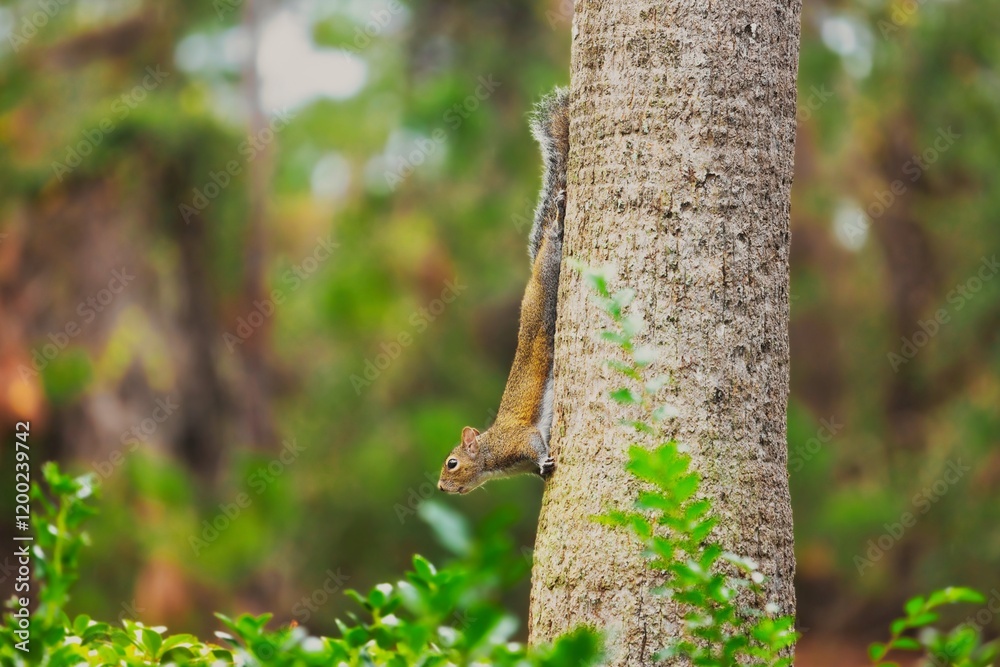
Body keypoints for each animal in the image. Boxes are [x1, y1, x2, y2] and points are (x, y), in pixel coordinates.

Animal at [438, 88, 569, 495]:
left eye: (452, 463)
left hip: (549, 279)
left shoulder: (519, 439)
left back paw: (558, 220)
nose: (441, 488)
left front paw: (544, 461)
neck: (491, 455)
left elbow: (535, 443)